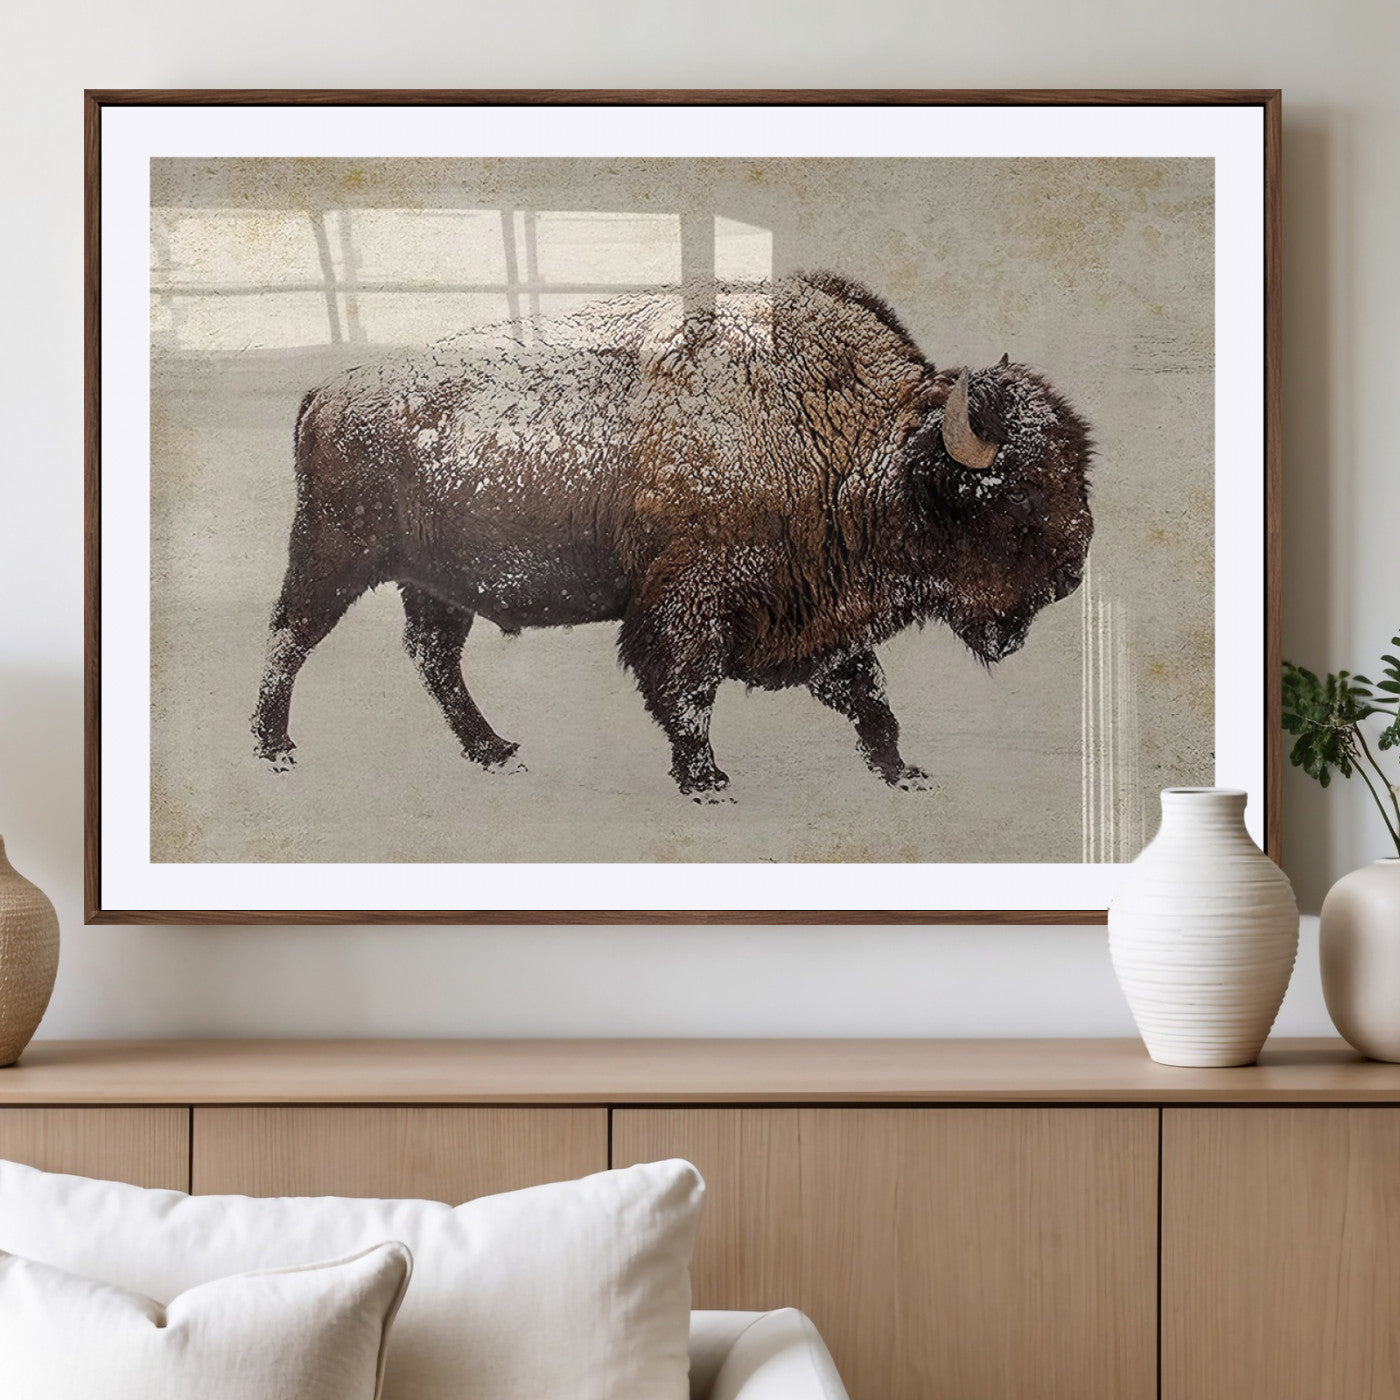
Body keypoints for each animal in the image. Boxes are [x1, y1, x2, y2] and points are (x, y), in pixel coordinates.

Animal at [251, 272, 1093, 799]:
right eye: (1017, 495)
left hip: (435, 584)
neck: (859, 444)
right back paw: (274, 749)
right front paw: (706, 781)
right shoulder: (690, 604)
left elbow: (870, 697)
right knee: (290, 639)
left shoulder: (822, 615)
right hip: (333, 557)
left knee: (434, 660)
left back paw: (495, 752)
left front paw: (901, 771)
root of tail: (328, 391)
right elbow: (687, 692)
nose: (1074, 569)